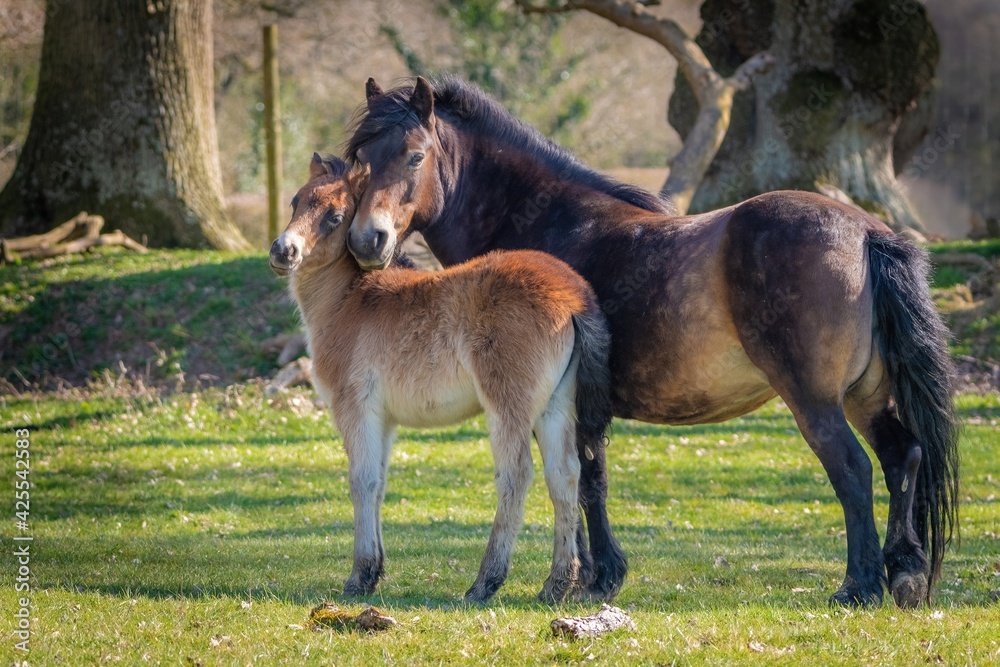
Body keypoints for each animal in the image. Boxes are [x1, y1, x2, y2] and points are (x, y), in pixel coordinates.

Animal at [269, 153, 616, 604]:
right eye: (296, 201)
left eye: (335, 217)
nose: (282, 250)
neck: (351, 299)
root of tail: (573, 296)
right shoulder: (384, 420)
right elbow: (379, 482)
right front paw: (374, 572)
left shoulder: (355, 408)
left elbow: (361, 481)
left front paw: (359, 577)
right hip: (556, 406)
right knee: (565, 475)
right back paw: (556, 584)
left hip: (508, 405)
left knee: (517, 474)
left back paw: (485, 583)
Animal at [342, 76, 960, 609]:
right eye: (358, 161)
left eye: (415, 156)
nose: (367, 240)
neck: (549, 223)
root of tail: (867, 231)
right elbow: (581, 479)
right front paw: (592, 576)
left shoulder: (571, 404)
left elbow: (585, 480)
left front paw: (591, 578)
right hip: (864, 396)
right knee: (902, 456)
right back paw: (905, 574)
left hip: (816, 400)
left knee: (854, 471)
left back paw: (859, 585)